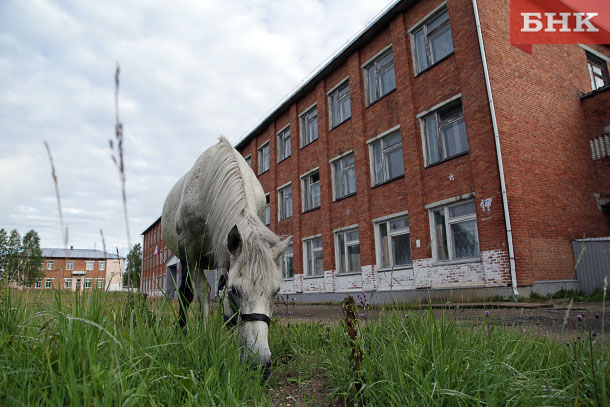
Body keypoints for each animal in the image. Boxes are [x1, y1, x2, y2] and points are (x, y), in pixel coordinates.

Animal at [160, 138, 286, 376]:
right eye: (235, 291)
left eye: (276, 291)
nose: (260, 364)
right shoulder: (188, 249)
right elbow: (192, 294)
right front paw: (193, 335)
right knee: (193, 292)